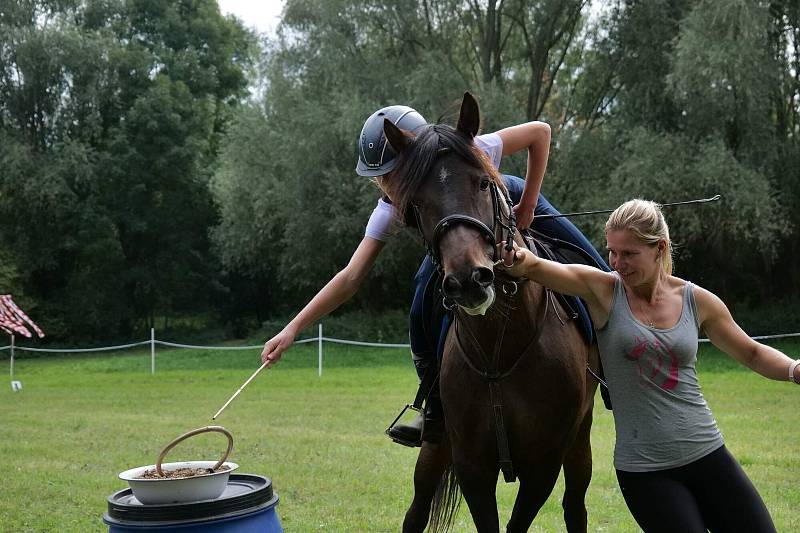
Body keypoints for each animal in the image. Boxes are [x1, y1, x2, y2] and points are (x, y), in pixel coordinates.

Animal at [382, 93, 600, 528]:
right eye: (415, 204)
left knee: (575, 506)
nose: (469, 280)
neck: (502, 348)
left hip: (579, 440)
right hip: (437, 444)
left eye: (483, 182)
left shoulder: (542, 467)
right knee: (417, 508)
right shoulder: (472, 466)